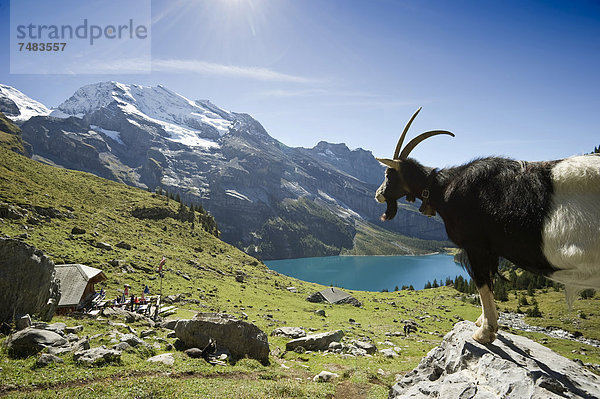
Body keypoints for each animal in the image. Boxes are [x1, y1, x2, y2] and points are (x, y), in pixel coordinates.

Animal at [376, 108, 600, 346]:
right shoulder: (491, 251)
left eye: (389, 174)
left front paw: (485, 332)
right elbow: (490, 282)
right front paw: (482, 322)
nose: (378, 194)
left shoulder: (476, 246)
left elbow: (482, 283)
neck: (445, 187)